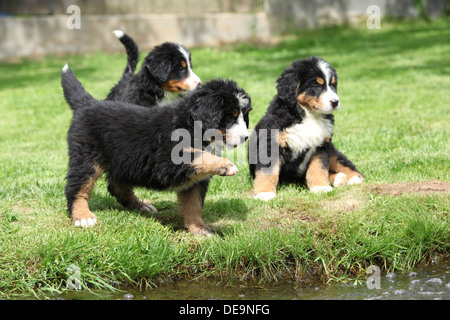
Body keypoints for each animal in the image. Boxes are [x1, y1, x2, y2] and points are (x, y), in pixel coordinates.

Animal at [248, 55, 364, 200]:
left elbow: (318, 168)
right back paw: (338, 178)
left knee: (343, 163)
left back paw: (353, 178)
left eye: (333, 85)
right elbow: (268, 172)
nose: (335, 102)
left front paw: (320, 187)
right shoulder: (271, 144)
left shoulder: (322, 146)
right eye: (317, 85)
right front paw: (264, 193)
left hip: (332, 151)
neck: (309, 115)